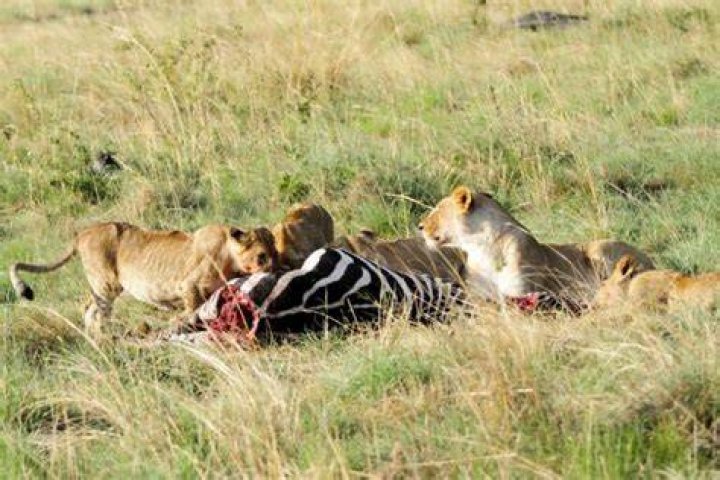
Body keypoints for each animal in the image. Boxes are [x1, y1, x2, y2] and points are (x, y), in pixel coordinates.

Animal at [9, 222, 278, 336]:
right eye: (262, 256)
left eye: (275, 251)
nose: (277, 268)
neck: (229, 256)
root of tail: (83, 232)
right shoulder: (188, 284)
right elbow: (194, 306)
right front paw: (178, 319)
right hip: (106, 285)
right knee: (96, 312)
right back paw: (103, 337)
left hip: (101, 285)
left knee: (87, 307)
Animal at [419, 186, 654, 306]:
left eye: (437, 209)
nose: (419, 226)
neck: (481, 249)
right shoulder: (476, 296)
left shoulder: (521, 292)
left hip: (600, 249)